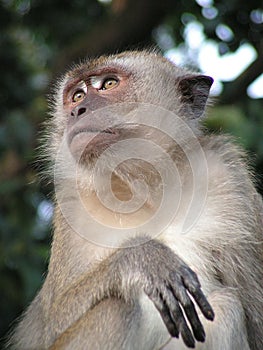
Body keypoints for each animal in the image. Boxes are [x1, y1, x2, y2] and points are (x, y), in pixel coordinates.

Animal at [7, 50, 262, 350]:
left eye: (108, 84)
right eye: (78, 95)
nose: (76, 111)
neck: (144, 185)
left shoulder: (228, 177)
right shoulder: (71, 205)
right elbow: (50, 323)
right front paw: (142, 258)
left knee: (226, 309)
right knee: (116, 309)